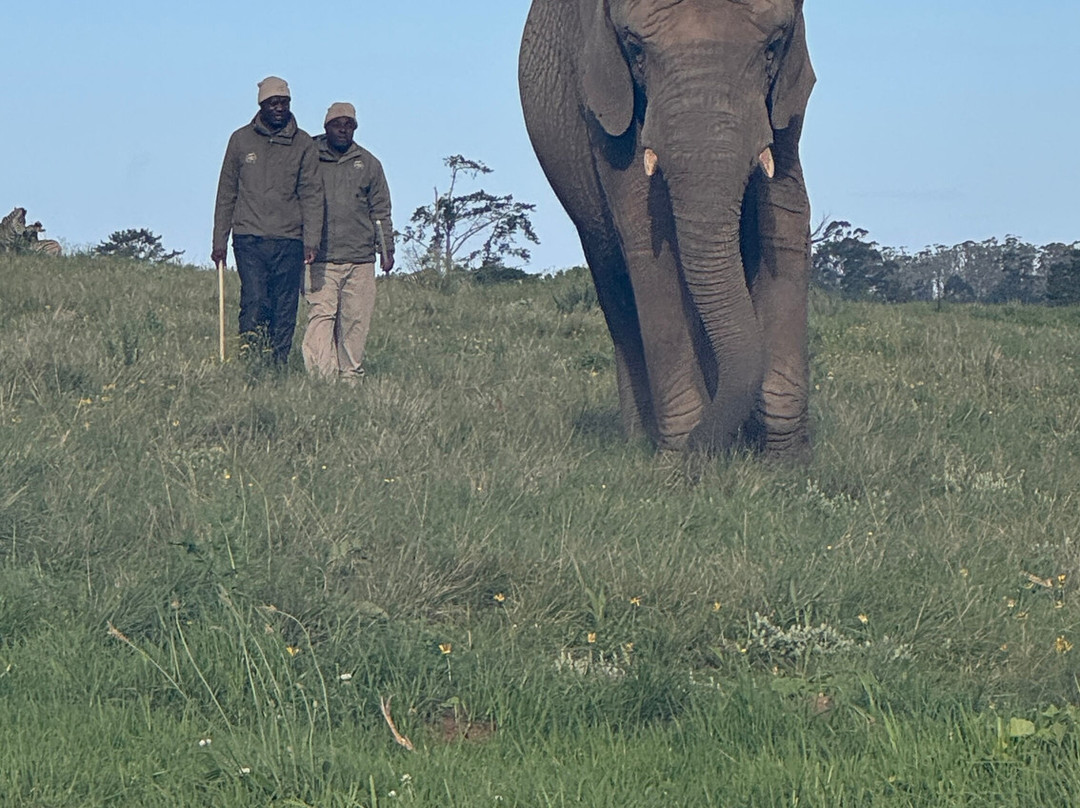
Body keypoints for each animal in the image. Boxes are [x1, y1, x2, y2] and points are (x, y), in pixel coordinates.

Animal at [519, 0, 815, 461]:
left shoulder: (783, 104)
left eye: (773, 47)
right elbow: (647, 238)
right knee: (615, 286)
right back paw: (641, 439)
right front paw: (679, 462)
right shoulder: (606, 100)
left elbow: (786, 222)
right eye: (636, 50)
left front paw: (787, 464)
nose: (706, 452)